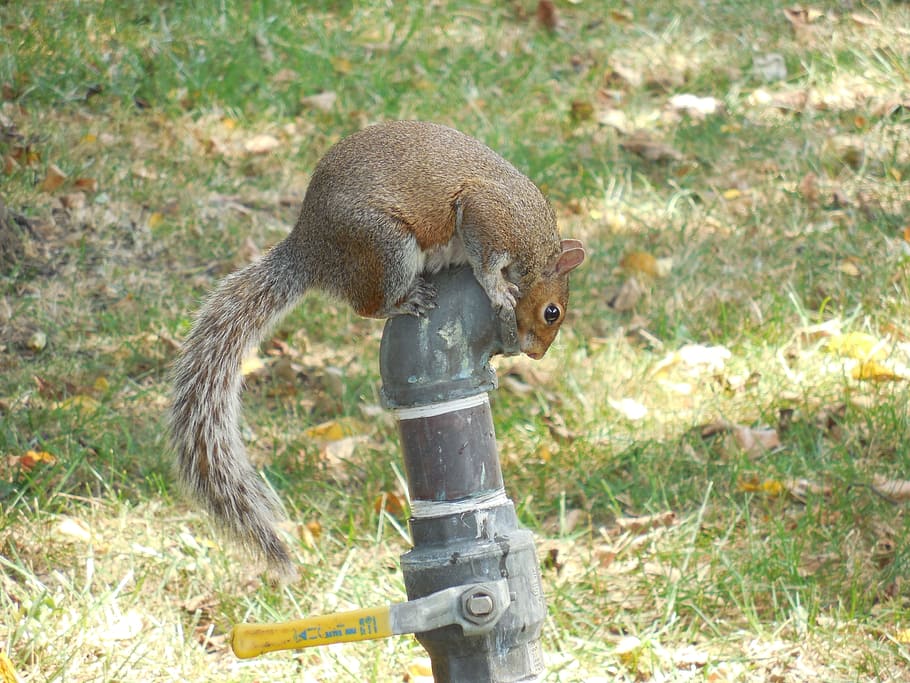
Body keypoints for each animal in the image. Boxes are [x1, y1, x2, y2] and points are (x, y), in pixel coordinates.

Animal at [169, 120, 586, 581]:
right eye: (552, 312)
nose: (536, 355)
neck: (536, 248)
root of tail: (309, 249)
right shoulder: (489, 215)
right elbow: (486, 256)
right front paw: (497, 287)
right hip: (385, 245)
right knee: (367, 305)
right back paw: (404, 301)